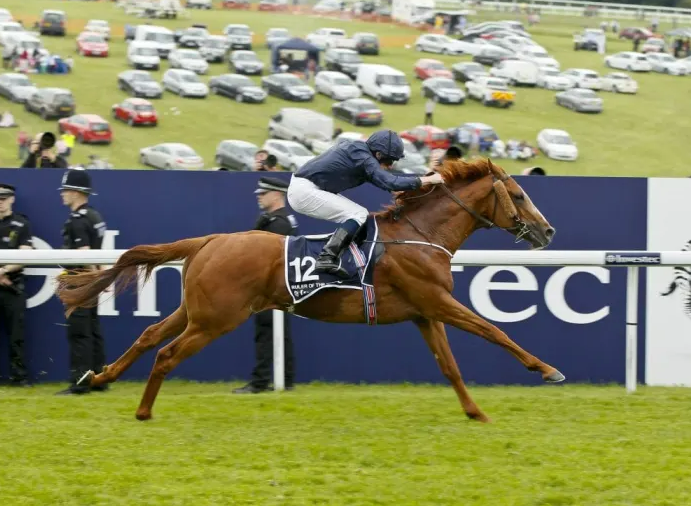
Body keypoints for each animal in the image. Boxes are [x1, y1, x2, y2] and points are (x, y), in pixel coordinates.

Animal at [55, 158, 563, 422]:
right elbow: (495, 331)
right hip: (217, 318)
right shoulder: (438, 300)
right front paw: (547, 370)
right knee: (166, 353)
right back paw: (142, 410)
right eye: (519, 195)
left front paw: (475, 412)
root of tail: (209, 240)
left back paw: (98, 377)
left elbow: (451, 366)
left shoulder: (425, 312)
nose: (548, 230)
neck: (420, 234)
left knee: (148, 337)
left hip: (197, 311)